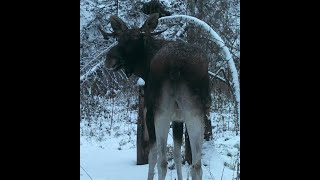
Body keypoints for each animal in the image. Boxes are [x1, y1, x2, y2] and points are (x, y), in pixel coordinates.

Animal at [99, 13, 211, 180]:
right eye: (118, 38)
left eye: (134, 40)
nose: (109, 59)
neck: (144, 67)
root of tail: (176, 65)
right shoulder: (178, 119)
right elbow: (177, 155)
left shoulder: (148, 114)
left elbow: (152, 157)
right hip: (195, 112)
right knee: (196, 165)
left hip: (160, 112)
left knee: (162, 162)